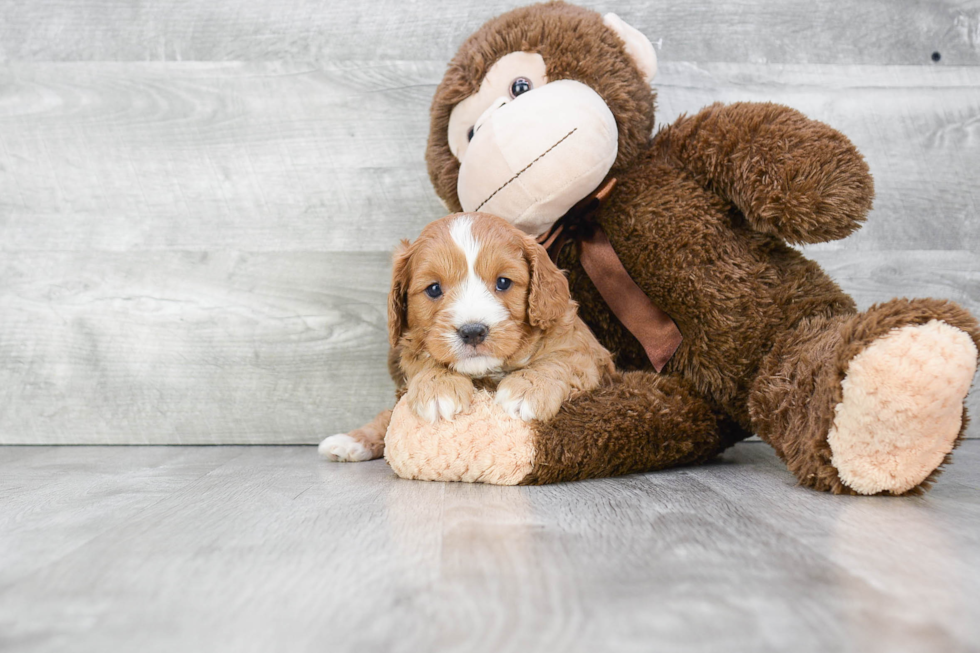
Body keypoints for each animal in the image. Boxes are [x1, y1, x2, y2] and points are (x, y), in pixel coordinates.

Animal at [320, 211, 612, 460]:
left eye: (503, 282)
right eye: (434, 289)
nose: (473, 332)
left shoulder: (586, 353)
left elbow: (559, 361)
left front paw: (528, 389)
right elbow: (424, 362)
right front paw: (438, 388)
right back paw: (350, 441)